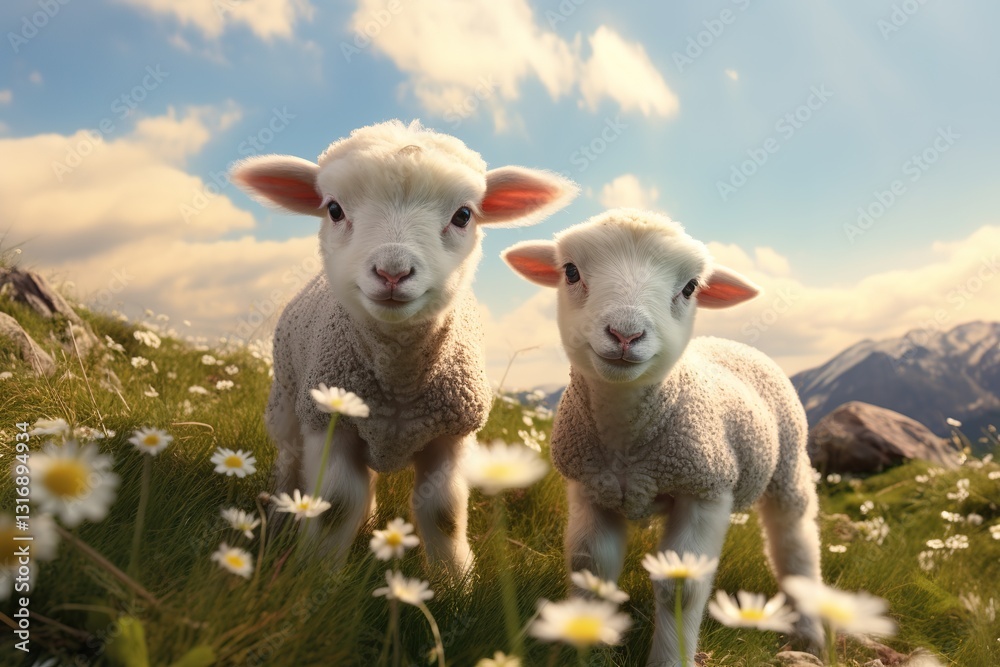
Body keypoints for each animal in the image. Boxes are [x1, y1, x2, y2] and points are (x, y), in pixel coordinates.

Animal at [230, 120, 577, 578]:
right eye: (334, 209)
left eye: (463, 215)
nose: (392, 272)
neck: (398, 382)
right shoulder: (329, 422)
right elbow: (335, 506)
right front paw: (315, 576)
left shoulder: (450, 433)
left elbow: (443, 513)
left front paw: (455, 581)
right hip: (289, 403)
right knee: (289, 462)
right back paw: (282, 515)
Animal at [502, 208, 824, 666]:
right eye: (571, 271)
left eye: (689, 287)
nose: (625, 335)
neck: (627, 444)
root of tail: (730, 341)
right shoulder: (590, 486)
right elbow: (590, 568)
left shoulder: (705, 490)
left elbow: (681, 589)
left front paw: (671, 657)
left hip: (788, 465)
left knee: (795, 543)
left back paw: (810, 631)